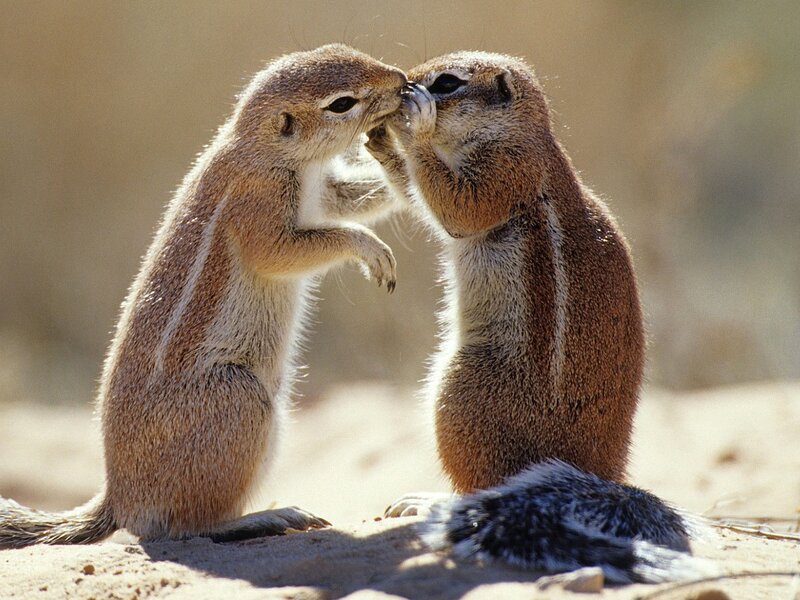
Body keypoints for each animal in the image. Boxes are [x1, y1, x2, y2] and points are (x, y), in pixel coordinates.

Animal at [0, 44, 407, 547]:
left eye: (350, 50)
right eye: (342, 103)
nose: (402, 80)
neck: (263, 148)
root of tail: (118, 498)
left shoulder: (327, 190)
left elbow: (359, 197)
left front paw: (400, 157)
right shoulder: (258, 203)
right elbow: (283, 251)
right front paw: (370, 248)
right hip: (241, 401)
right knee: (185, 527)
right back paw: (267, 517)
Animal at [365, 52, 713, 583]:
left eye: (447, 83)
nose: (403, 86)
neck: (519, 134)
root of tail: (599, 476)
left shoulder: (506, 173)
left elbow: (457, 207)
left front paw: (413, 123)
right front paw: (378, 140)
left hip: (461, 392)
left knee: (482, 484)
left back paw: (425, 502)